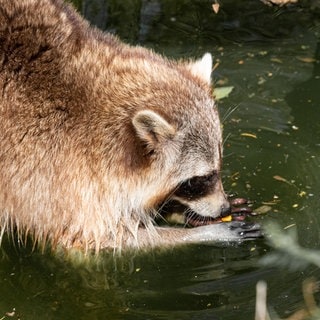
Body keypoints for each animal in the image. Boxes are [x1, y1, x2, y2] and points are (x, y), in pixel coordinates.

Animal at [0, 0, 260, 252]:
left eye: (218, 167)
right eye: (197, 181)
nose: (224, 209)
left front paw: (180, 211)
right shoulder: (49, 168)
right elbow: (92, 238)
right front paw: (204, 232)